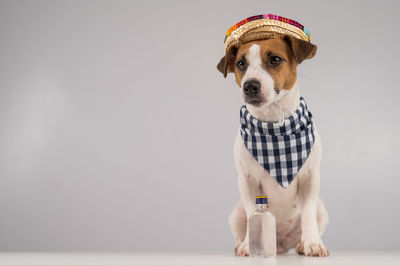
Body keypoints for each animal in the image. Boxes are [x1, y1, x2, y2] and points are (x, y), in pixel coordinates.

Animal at [219, 32, 328, 256]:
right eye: (241, 64)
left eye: (275, 59)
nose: (250, 85)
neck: (274, 126)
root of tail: (280, 243)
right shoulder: (247, 180)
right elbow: (252, 210)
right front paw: (247, 245)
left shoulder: (310, 178)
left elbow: (308, 214)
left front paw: (313, 243)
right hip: (236, 215)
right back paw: (242, 244)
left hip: (322, 210)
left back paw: (303, 244)